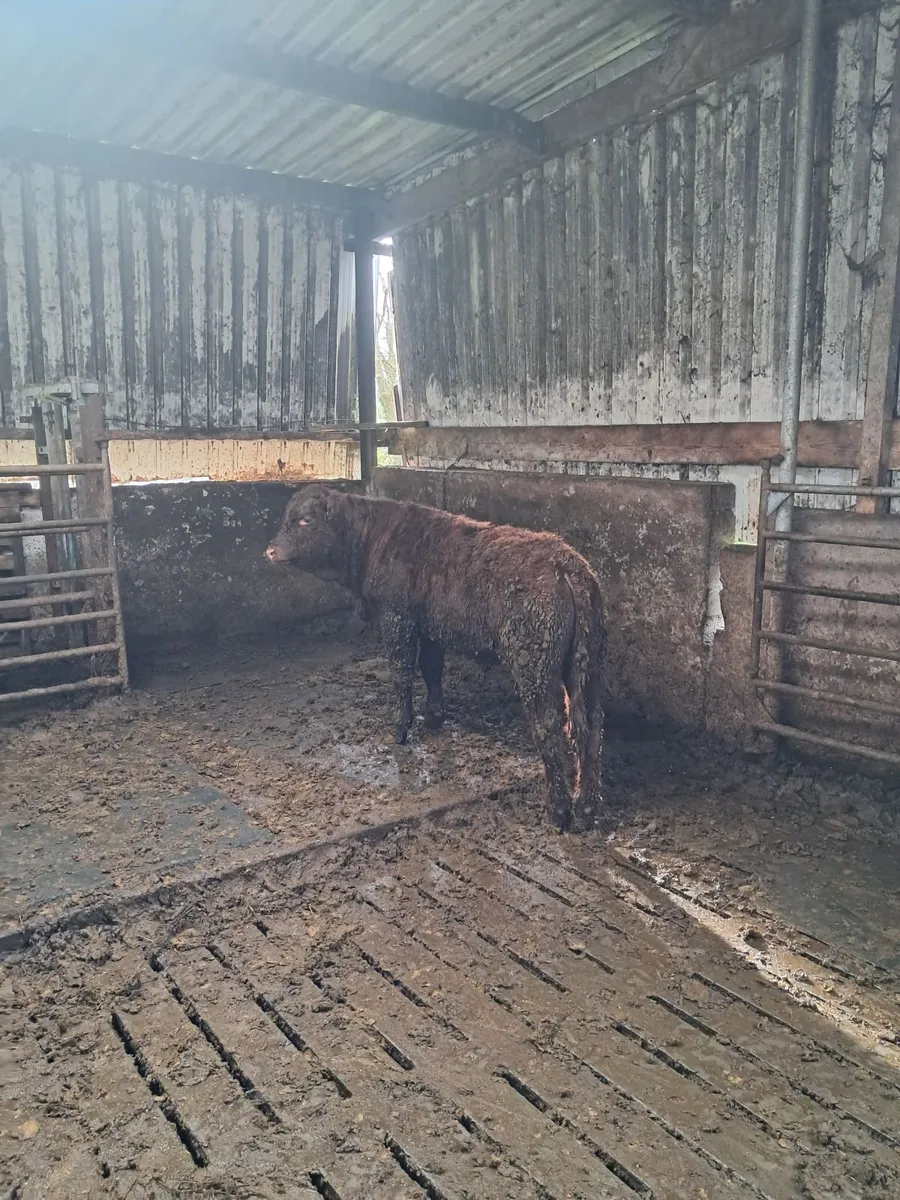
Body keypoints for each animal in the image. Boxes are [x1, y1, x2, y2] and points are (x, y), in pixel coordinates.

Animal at [265, 486, 606, 833]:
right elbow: (431, 670)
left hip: (534, 667)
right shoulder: (430, 629)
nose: (270, 550)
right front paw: (434, 717)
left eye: (306, 519)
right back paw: (587, 808)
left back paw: (559, 811)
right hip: (587, 665)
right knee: (590, 727)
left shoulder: (397, 619)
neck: (373, 537)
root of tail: (563, 561)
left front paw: (401, 728)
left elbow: (402, 672)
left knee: (549, 727)